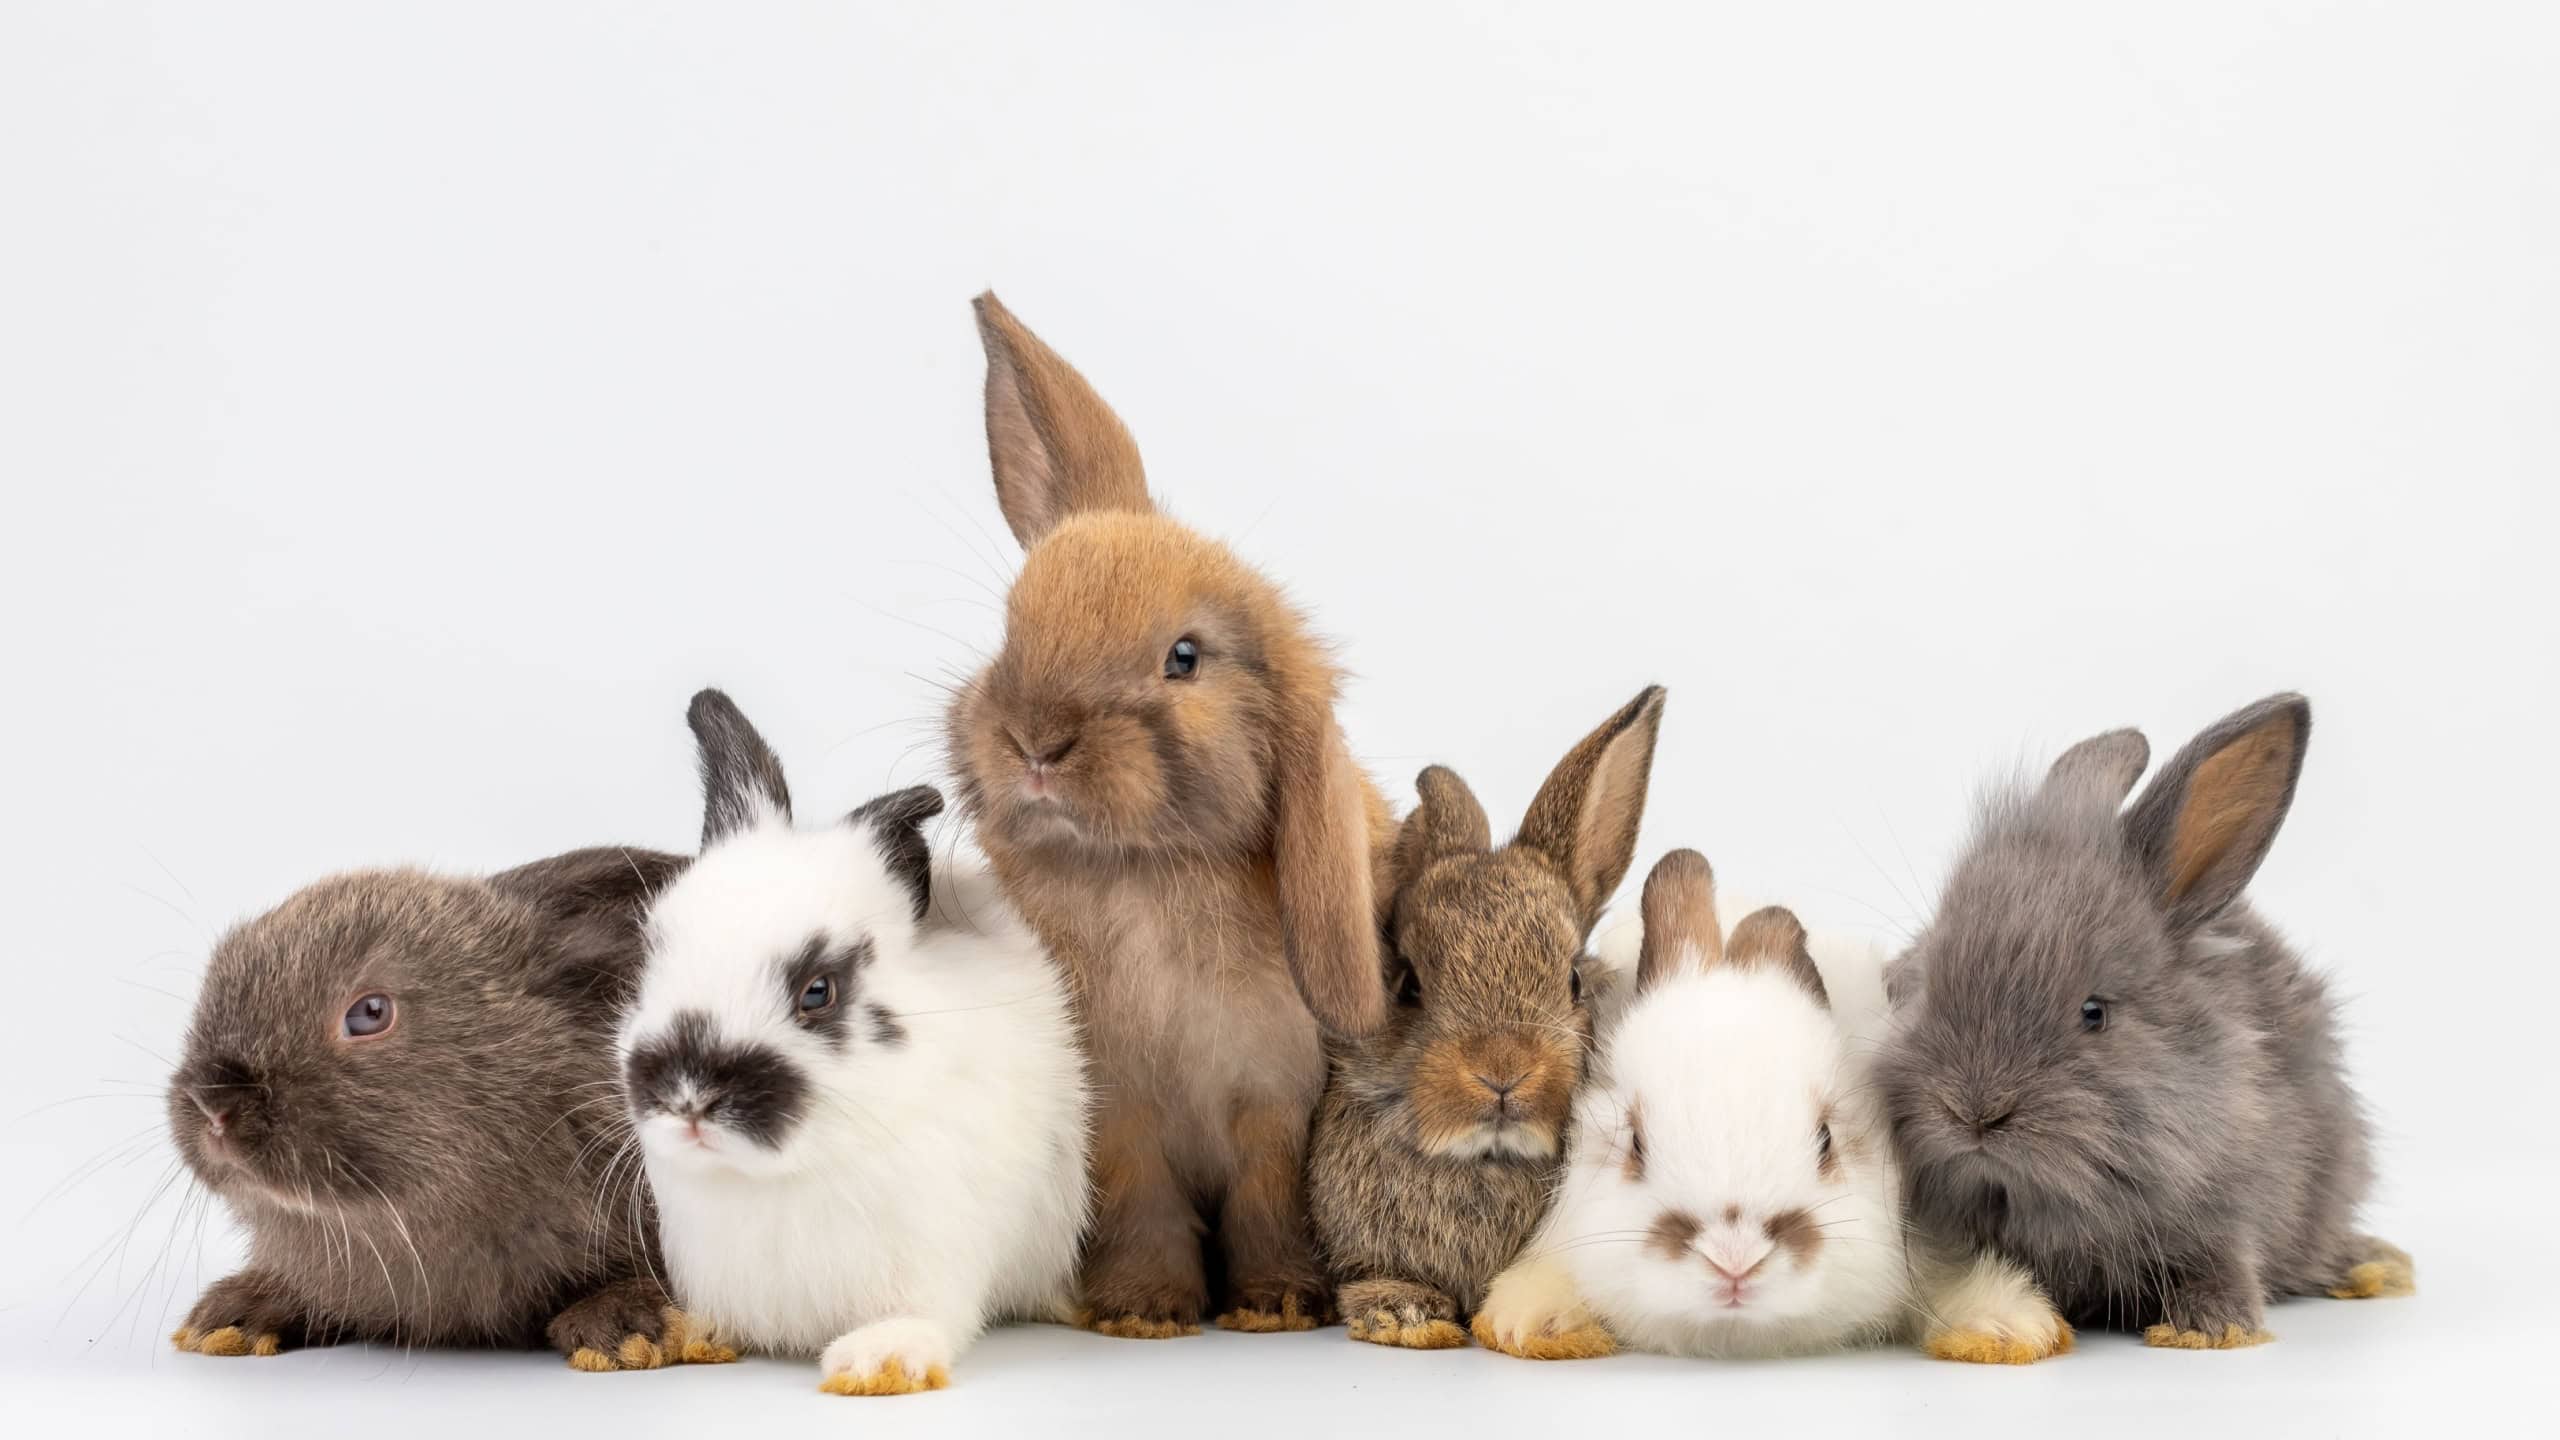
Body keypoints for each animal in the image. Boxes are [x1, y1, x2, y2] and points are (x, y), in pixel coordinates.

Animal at [621, 690, 1091, 1396]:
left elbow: (921, 1316)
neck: (789, 1173)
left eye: (818, 991)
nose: (690, 1096)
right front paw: (683, 1335)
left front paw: (878, 1364)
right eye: (652, 956)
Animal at [941, 294, 1396, 1338]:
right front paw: (1142, 1311)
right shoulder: (1117, 1112)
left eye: (1184, 658)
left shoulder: (1276, 1099)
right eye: (1012, 628)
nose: (1035, 741)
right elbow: (1139, 1200)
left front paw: (1277, 1304)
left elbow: (1270, 1196)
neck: (1141, 872)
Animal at [1876, 692, 2414, 1359]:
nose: (1972, 1111)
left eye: (2094, 1013)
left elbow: (2222, 1264)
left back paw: (2375, 1267)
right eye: (1922, 980)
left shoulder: (2230, 1211)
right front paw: (1994, 1337)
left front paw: (2210, 1330)